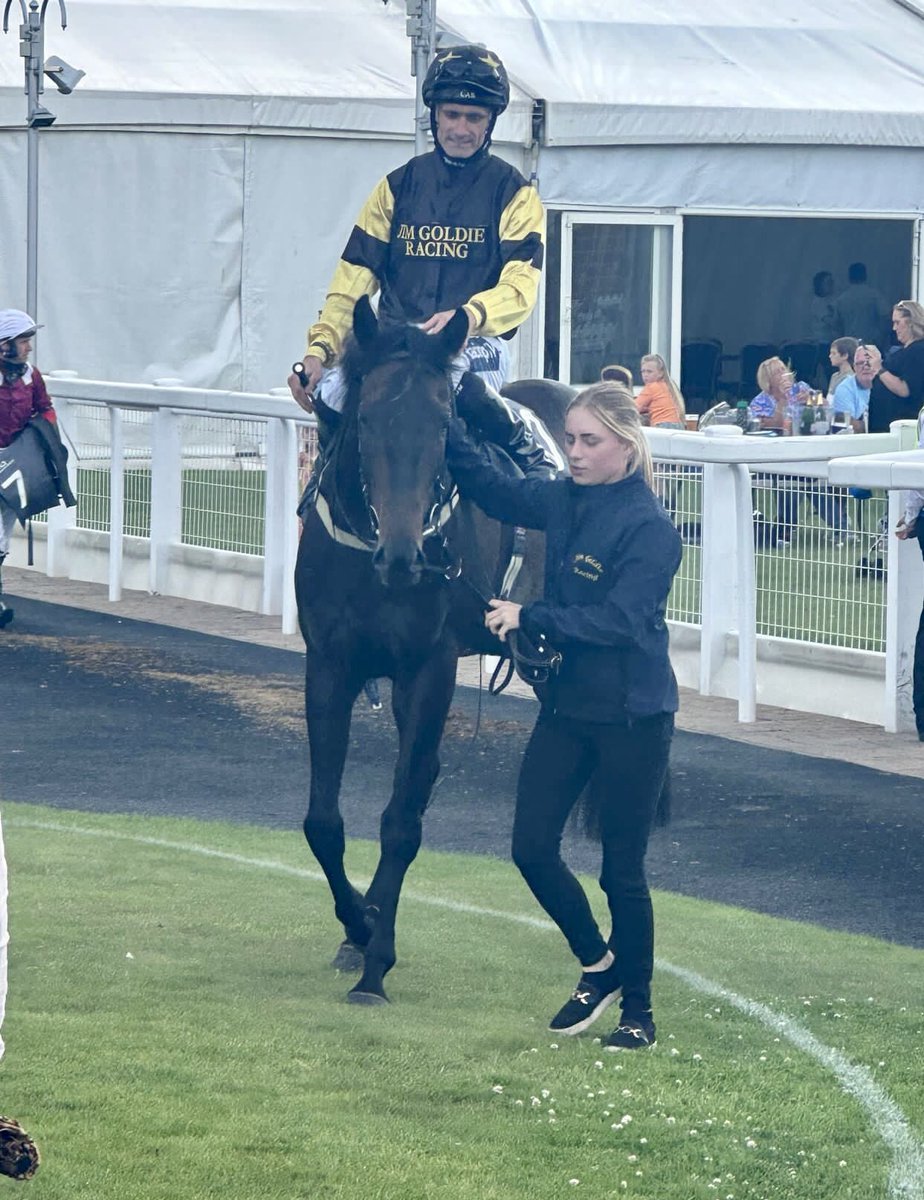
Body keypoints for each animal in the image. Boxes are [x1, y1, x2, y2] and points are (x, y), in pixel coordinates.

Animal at [295, 297, 568, 1003]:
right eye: (367, 416)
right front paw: (359, 925)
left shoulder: (429, 667)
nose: (404, 557)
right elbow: (323, 821)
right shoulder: (329, 664)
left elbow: (398, 822)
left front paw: (376, 963)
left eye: (445, 424)